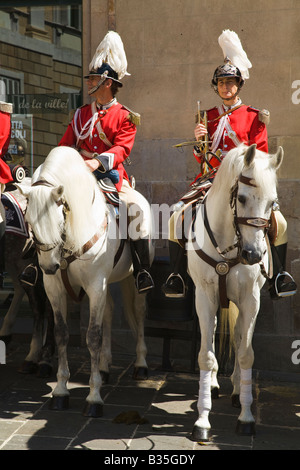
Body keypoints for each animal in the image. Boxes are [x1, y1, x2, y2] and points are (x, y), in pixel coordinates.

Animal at [16, 145, 154, 416]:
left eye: (58, 218)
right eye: (28, 221)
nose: (49, 267)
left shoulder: (95, 286)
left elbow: (93, 336)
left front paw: (94, 397)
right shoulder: (55, 288)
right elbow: (61, 333)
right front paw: (60, 391)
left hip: (133, 280)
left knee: (139, 311)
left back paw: (141, 364)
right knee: (109, 312)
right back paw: (104, 366)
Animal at [188, 143, 284, 440]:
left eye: (272, 203)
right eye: (241, 198)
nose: (253, 255)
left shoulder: (251, 300)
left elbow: (245, 352)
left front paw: (246, 416)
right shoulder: (204, 297)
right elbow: (205, 355)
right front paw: (202, 419)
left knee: (241, 334)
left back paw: (235, 390)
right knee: (214, 332)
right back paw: (214, 386)